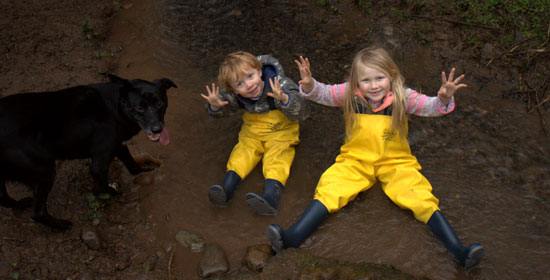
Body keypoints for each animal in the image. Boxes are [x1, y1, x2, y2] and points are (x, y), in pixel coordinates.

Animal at [0, 75, 177, 230]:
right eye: (140, 107)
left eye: (160, 103)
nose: (157, 129)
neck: (116, 107)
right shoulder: (99, 163)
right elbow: (105, 186)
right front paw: (115, 193)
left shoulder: (119, 145)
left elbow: (132, 164)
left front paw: (145, 172)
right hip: (46, 171)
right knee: (37, 213)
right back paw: (61, 225)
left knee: (3, 199)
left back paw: (20, 204)